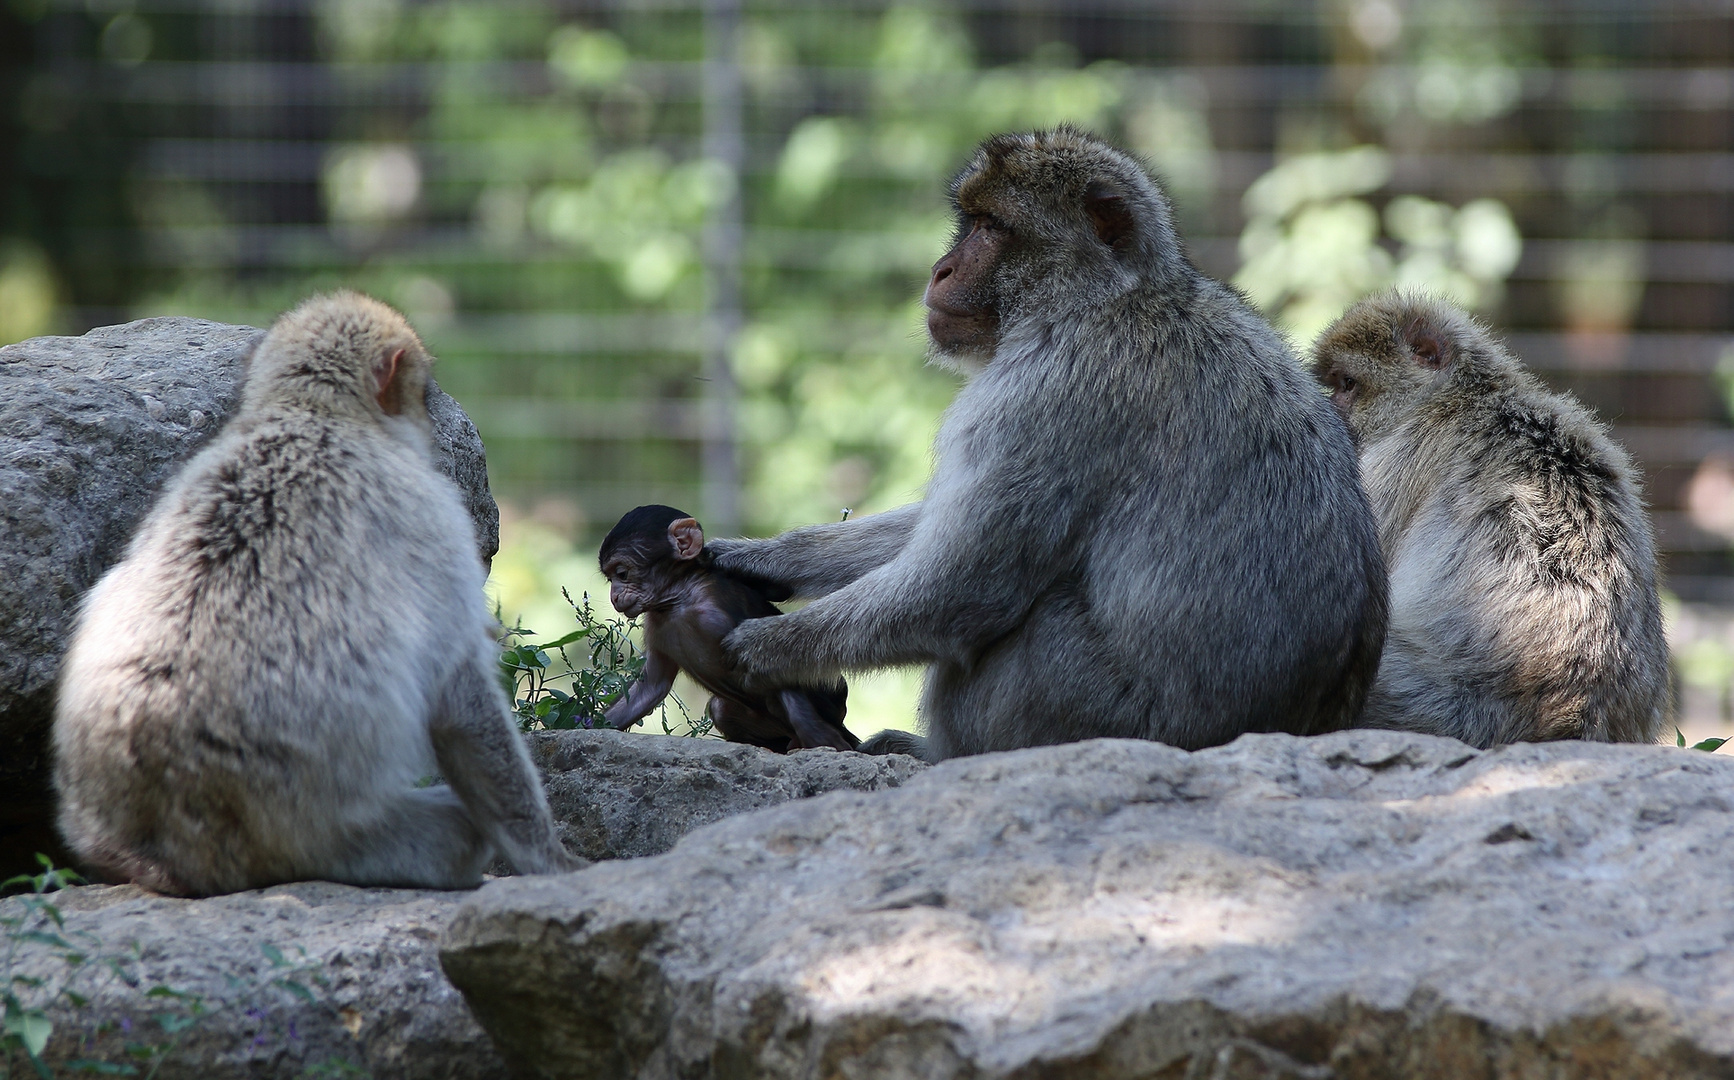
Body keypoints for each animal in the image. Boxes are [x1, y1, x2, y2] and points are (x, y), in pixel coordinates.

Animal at [599, 506, 856, 752]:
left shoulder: (715, 619)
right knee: (721, 709)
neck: (679, 601)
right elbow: (649, 688)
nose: (614, 596)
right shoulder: (655, 625)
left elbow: (769, 662)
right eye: (611, 578)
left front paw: (817, 734)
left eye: (622, 573)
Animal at [1310, 296, 1664, 752]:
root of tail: (1574, 714)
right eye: (1336, 384)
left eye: (1348, 384)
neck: (1466, 393)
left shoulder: (1404, 447)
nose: (1332, 409)